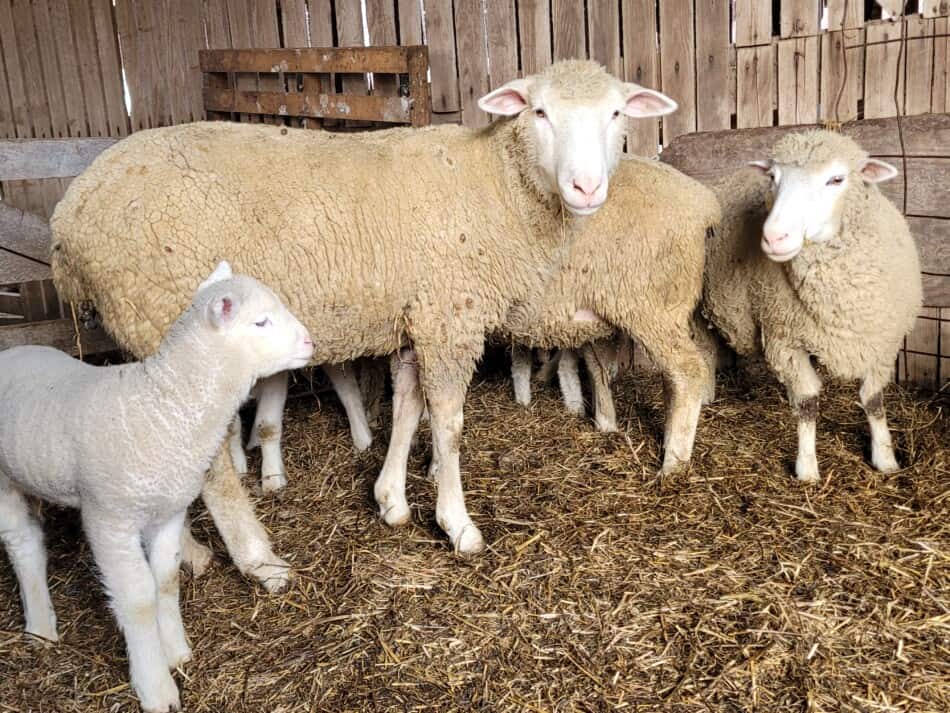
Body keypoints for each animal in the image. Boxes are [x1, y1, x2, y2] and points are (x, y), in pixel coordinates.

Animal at [0, 262, 314, 712]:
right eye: (261, 322)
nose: (310, 342)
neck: (162, 404)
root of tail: (10, 351)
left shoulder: (168, 510)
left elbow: (165, 580)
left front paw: (176, 651)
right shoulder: (109, 519)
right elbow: (138, 599)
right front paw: (156, 685)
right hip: (3, 481)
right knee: (23, 544)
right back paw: (41, 626)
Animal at [54, 59, 676, 584]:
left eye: (616, 113)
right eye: (540, 112)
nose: (586, 188)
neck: (498, 186)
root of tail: (70, 212)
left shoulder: (418, 318)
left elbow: (406, 408)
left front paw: (391, 501)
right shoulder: (450, 316)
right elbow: (447, 424)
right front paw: (457, 524)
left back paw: (187, 552)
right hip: (170, 319)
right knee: (207, 466)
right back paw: (257, 559)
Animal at [708, 130, 924, 482]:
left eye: (836, 179)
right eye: (773, 177)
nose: (774, 237)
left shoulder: (882, 343)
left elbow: (874, 400)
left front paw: (885, 459)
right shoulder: (784, 341)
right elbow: (808, 403)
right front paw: (807, 468)